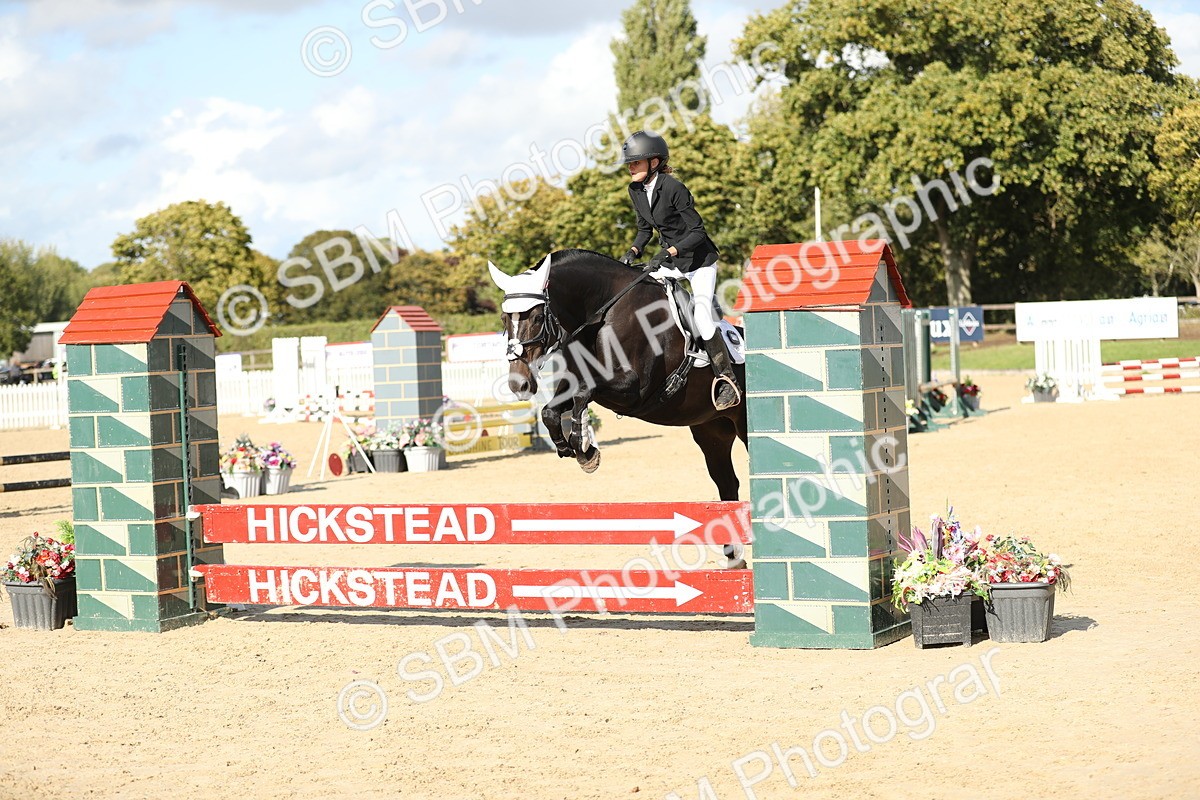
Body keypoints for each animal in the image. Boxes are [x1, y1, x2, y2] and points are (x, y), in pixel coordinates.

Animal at [488, 249, 748, 567]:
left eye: (537, 317)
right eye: (504, 318)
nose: (519, 384)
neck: (600, 312)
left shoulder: (634, 390)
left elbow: (584, 395)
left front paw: (583, 446)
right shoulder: (579, 380)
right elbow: (551, 411)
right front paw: (576, 450)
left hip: (744, 426)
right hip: (712, 432)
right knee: (728, 484)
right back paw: (734, 558)